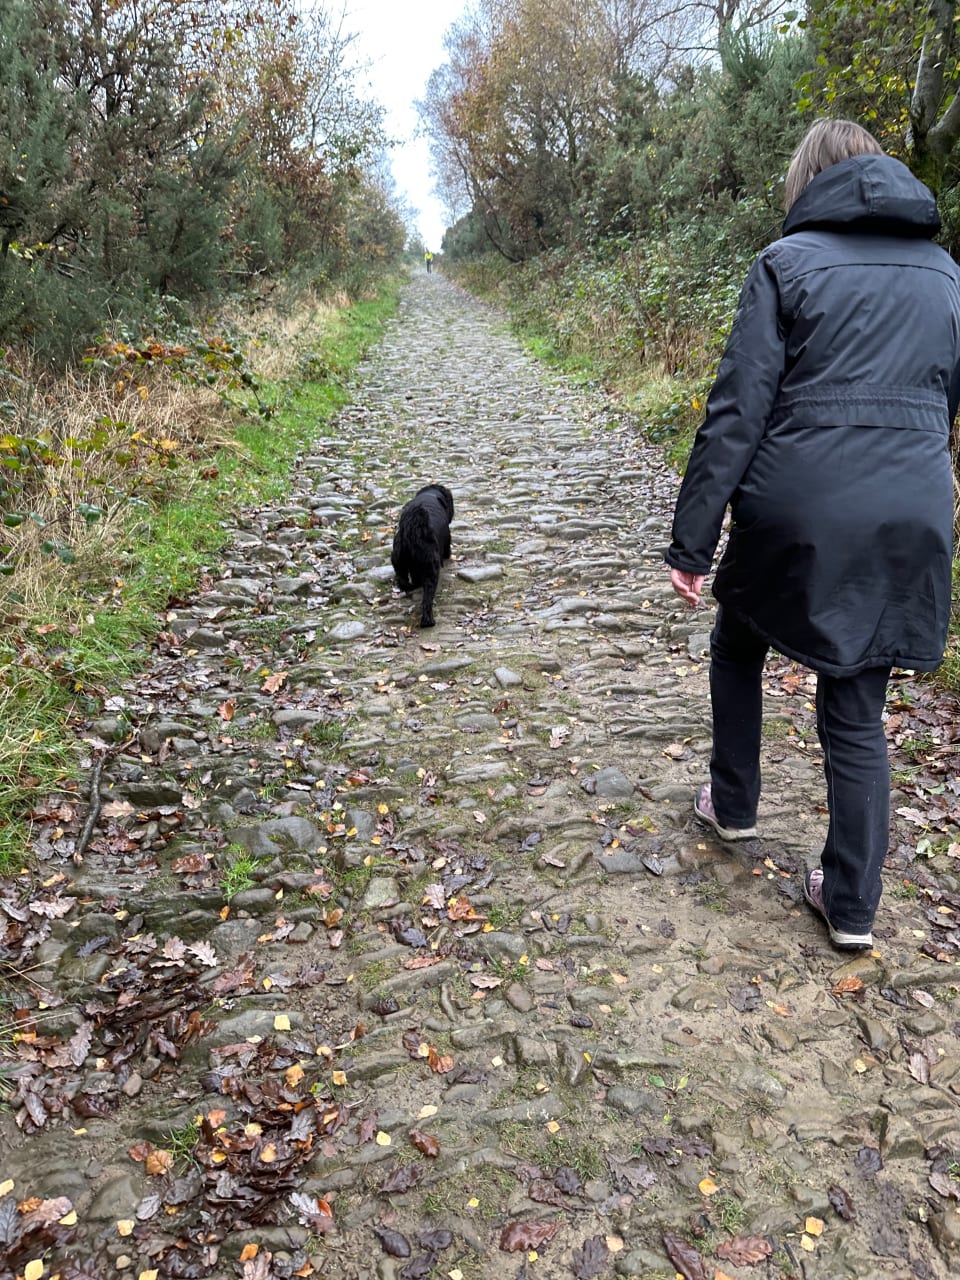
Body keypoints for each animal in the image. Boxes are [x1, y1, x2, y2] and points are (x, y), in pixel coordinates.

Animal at [391, 481, 455, 627]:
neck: (431, 494)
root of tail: (413, 528)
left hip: (399, 561)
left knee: (405, 581)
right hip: (431, 568)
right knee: (427, 599)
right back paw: (428, 621)